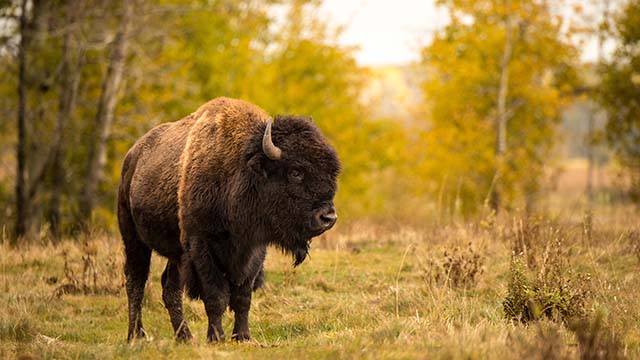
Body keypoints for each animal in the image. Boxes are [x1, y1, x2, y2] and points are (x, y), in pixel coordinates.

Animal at [118, 97, 342, 342]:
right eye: (295, 172)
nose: (328, 217)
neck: (240, 171)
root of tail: (132, 156)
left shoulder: (254, 250)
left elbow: (242, 297)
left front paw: (243, 336)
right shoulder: (201, 245)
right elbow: (215, 296)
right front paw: (216, 337)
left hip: (176, 253)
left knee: (170, 287)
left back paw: (184, 337)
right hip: (133, 237)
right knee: (136, 280)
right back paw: (136, 335)